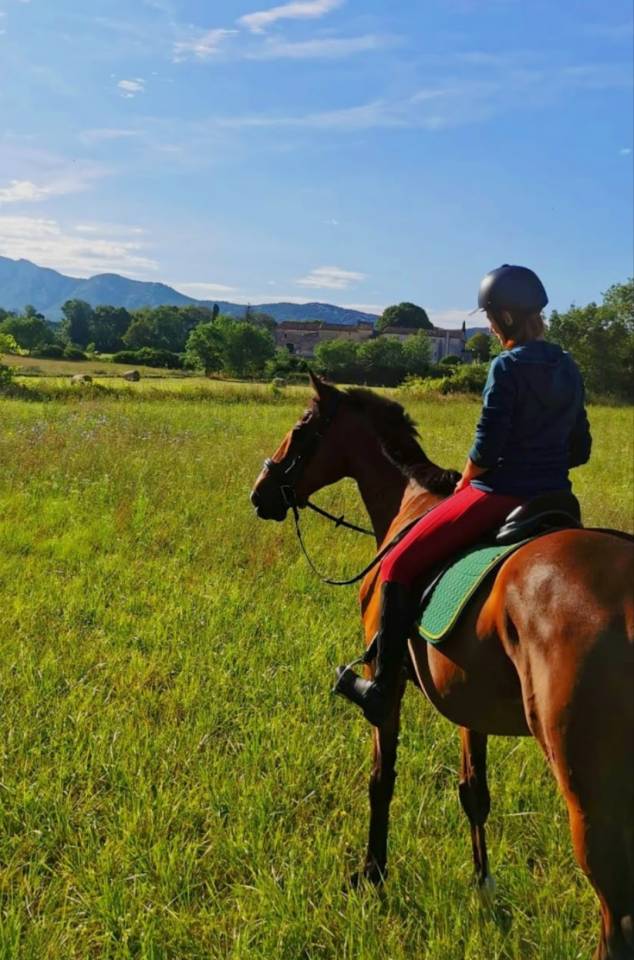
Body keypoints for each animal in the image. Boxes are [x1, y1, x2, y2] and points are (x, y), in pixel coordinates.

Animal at [250, 373, 634, 960]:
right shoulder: (467, 700)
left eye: (302, 427)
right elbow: (474, 792)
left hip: (591, 794)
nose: (261, 493)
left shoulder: (390, 686)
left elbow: (381, 778)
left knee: (616, 917)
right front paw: (483, 885)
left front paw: (372, 873)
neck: (412, 503)